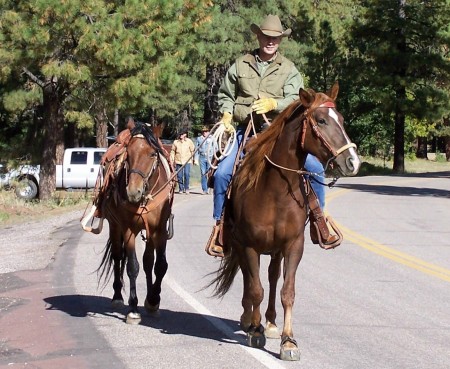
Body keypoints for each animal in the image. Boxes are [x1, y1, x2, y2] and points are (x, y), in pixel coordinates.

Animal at [97, 119, 175, 324]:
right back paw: (117, 296)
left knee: (148, 261)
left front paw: (153, 300)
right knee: (117, 256)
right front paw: (133, 308)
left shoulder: (159, 229)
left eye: (153, 153)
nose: (133, 191)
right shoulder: (128, 229)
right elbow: (132, 266)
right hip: (115, 226)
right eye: (128, 153)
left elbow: (159, 265)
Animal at [209, 82, 360, 360]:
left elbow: (286, 291)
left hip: (275, 250)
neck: (274, 191)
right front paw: (254, 330)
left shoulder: (293, 245)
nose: (353, 162)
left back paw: (269, 322)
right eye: (321, 120)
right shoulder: (250, 246)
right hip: (241, 245)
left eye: (342, 119)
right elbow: (255, 288)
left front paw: (288, 341)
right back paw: (249, 319)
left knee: (271, 277)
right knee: (249, 279)